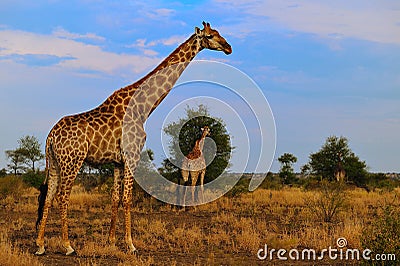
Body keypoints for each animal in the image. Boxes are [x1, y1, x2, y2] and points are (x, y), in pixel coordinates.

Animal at [36, 21, 233, 255]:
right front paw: (130, 244)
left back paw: (40, 244)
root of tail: (50, 136)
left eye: (219, 33)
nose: (229, 47)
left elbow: (115, 199)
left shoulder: (117, 162)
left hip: (55, 162)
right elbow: (128, 199)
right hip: (72, 161)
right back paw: (67, 245)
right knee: (62, 197)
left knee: (48, 197)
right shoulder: (132, 155)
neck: (142, 108)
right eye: (210, 36)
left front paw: (111, 241)